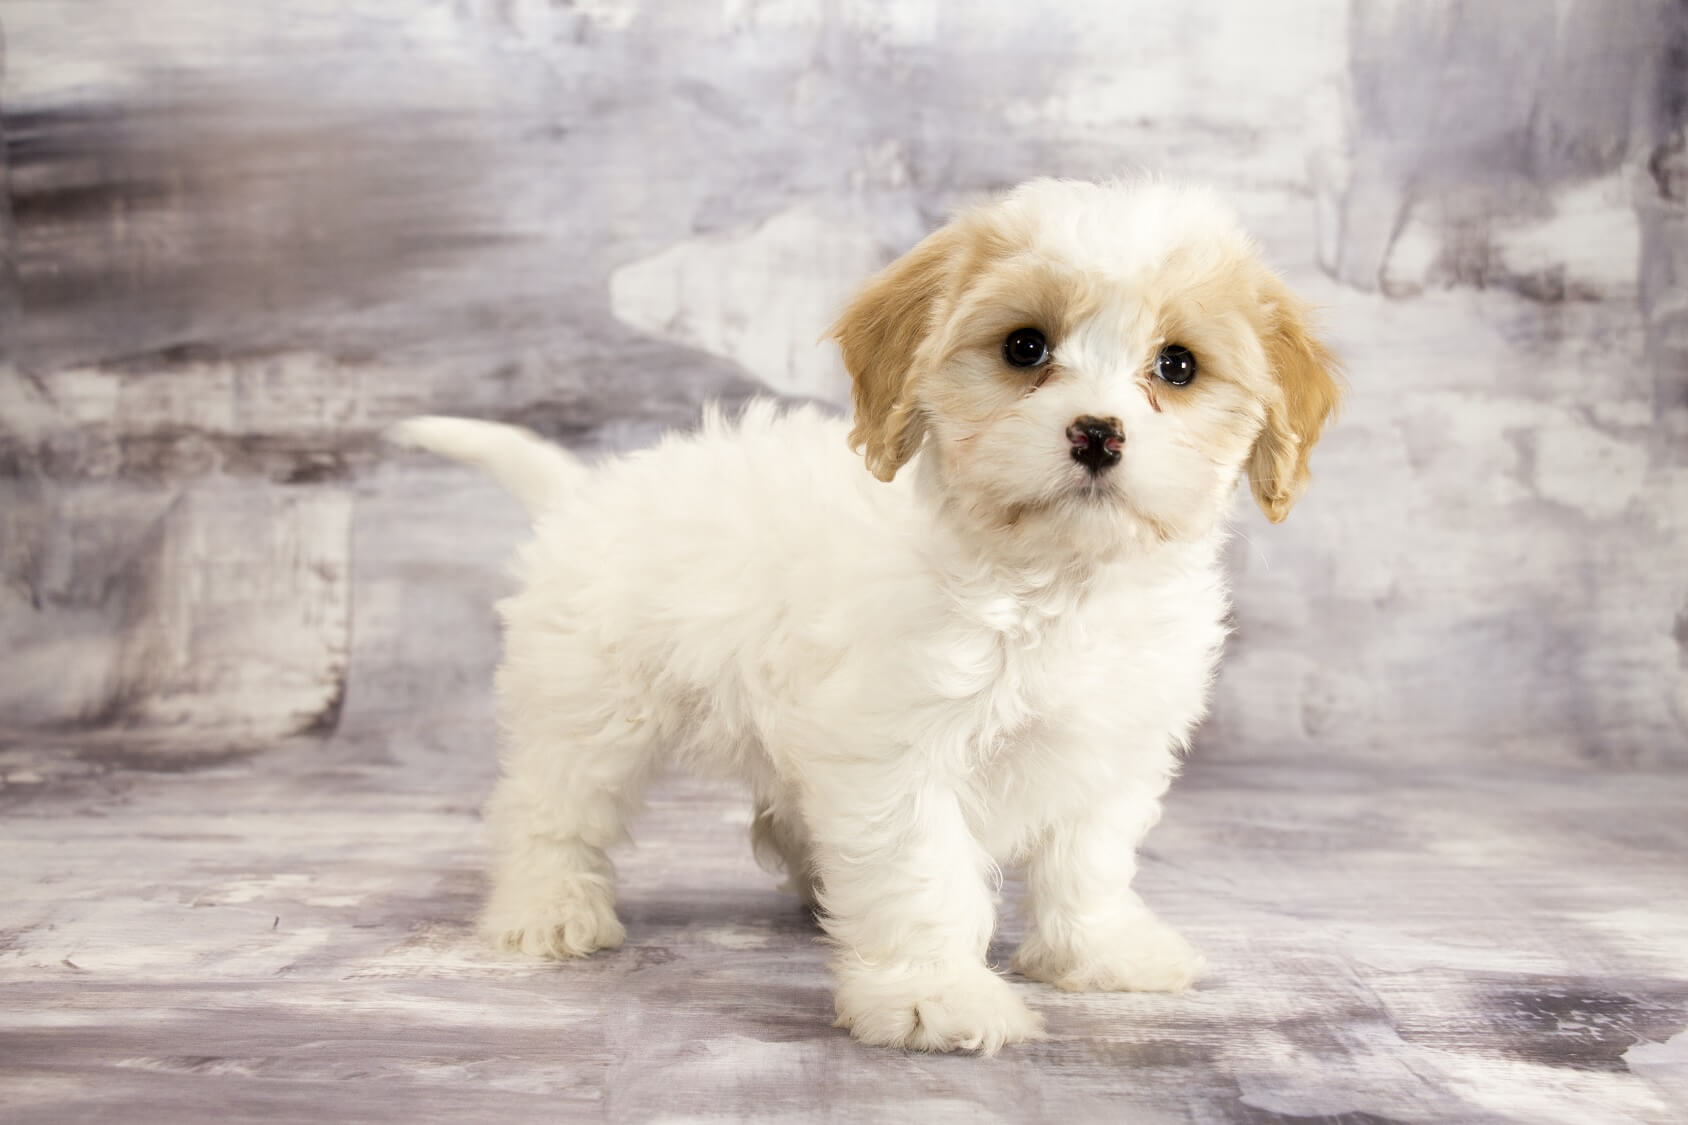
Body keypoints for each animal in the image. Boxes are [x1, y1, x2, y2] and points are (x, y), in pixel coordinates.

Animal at [388, 177, 1336, 1054]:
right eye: (1024, 346)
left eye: (1177, 365)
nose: (1097, 433)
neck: (1051, 582)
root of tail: (585, 493)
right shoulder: (899, 754)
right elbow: (924, 877)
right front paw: (933, 995)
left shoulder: (1113, 746)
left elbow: (1090, 859)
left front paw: (1099, 952)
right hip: (592, 706)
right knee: (550, 809)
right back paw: (546, 908)